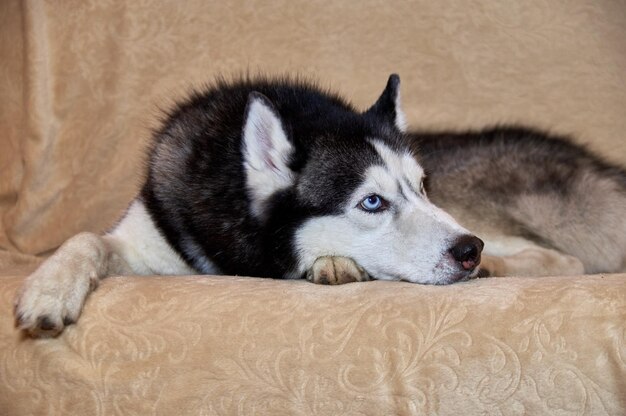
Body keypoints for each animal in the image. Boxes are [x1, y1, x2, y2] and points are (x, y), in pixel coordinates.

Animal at [13, 73, 624, 336]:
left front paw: (333, 263)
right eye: (371, 201)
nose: (467, 250)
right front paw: (49, 289)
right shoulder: (147, 239)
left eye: (422, 186)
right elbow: (86, 238)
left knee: (561, 260)